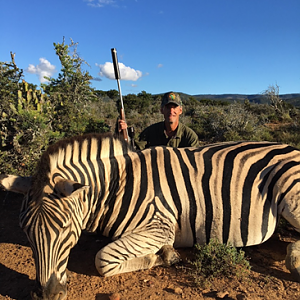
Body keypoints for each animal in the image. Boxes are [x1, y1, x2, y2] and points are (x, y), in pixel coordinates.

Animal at [1, 132, 300, 298]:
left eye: (64, 229)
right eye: (25, 231)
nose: (47, 295)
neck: (117, 186)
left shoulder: (160, 225)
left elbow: (103, 260)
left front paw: (165, 256)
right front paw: (164, 254)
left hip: (290, 193)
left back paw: (294, 261)